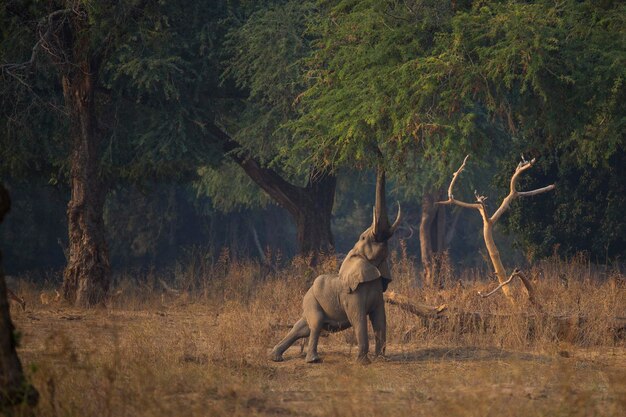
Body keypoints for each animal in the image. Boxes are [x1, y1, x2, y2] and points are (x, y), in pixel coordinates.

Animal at [270, 167, 400, 362]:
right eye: (364, 237)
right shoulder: (351, 294)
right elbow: (358, 319)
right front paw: (363, 362)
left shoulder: (378, 291)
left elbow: (380, 319)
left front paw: (381, 360)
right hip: (311, 300)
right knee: (315, 324)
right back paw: (313, 360)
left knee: (302, 327)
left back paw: (275, 357)